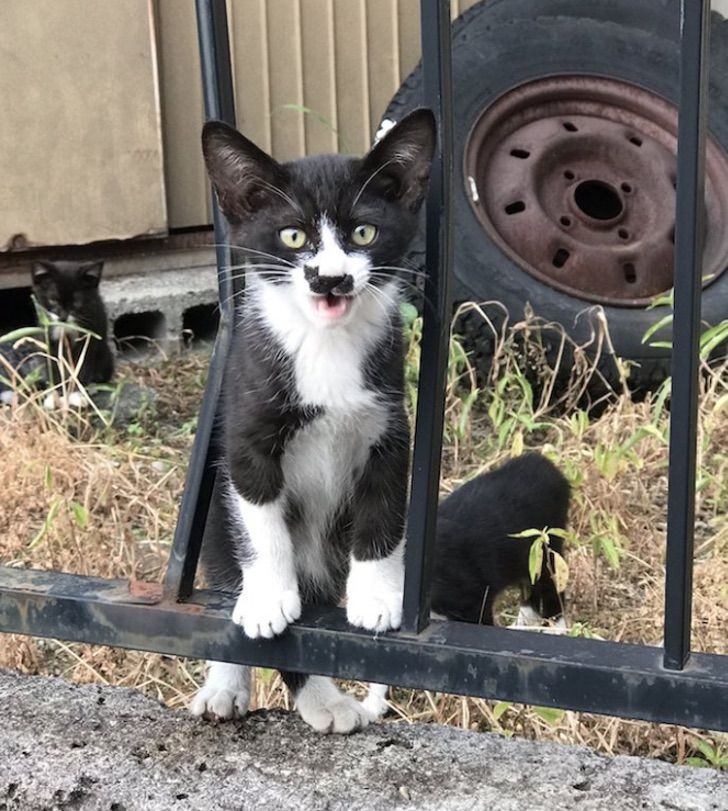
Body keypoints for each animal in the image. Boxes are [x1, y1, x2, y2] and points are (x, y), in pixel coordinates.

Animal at [0, 262, 114, 404]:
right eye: (53, 300)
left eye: (76, 302)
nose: (63, 317)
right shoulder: (48, 338)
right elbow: (53, 365)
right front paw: (55, 396)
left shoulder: (90, 336)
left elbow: (82, 365)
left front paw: (76, 394)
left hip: (106, 357)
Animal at [191, 109, 436, 736]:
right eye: (294, 237)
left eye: (364, 234)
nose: (330, 278)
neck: (325, 345)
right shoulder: (246, 433)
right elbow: (260, 521)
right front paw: (269, 598)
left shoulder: (388, 429)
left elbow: (382, 515)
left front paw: (377, 597)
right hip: (214, 523)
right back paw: (243, 687)